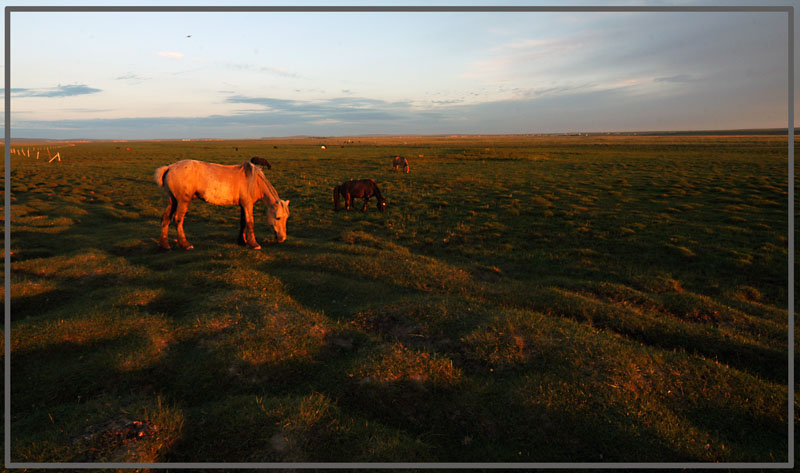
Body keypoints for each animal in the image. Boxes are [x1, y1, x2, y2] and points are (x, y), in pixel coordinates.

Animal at [155, 159, 290, 251]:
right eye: (278, 218)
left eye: (286, 218)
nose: (282, 238)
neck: (254, 182)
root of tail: (169, 167)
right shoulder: (247, 205)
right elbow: (250, 222)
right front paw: (253, 244)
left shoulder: (242, 206)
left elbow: (243, 223)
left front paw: (242, 241)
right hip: (182, 202)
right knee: (178, 220)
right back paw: (185, 244)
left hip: (172, 201)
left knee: (165, 219)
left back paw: (165, 245)